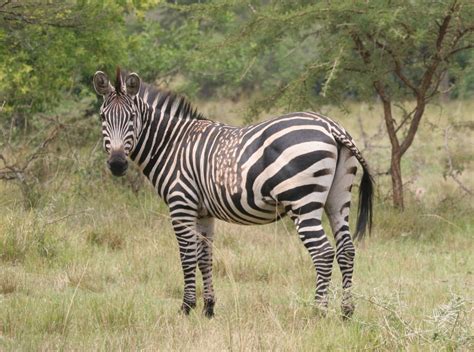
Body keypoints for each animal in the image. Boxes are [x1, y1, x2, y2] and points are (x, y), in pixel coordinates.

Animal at [93, 67, 374, 318]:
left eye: (132, 117)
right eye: (103, 118)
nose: (117, 164)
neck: (171, 144)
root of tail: (330, 127)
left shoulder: (181, 204)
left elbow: (186, 257)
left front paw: (186, 308)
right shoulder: (203, 212)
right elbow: (204, 257)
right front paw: (208, 308)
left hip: (302, 201)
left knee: (323, 253)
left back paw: (318, 312)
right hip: (338, 198)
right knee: (346, 249)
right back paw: (346, 311)